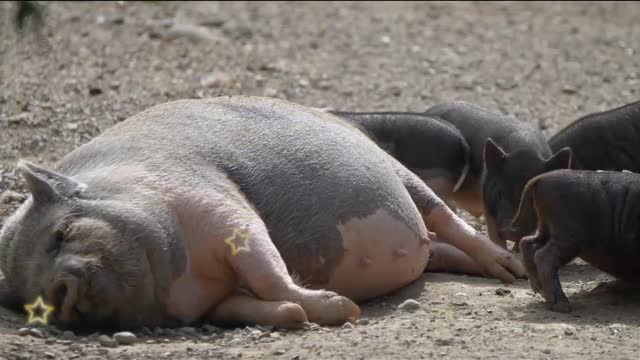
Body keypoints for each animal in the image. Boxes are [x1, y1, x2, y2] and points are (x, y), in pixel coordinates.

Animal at [0, 95, 524, 330]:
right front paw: (300, 314)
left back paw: (510, 269)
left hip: (398, 174)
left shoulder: (218, 205)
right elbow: (255, 302)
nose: (56, 294)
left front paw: (343, 309)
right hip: (424, 242)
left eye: (62, 233)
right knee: (437, 247)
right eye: (26, 295)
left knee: (442, 218)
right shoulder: (210, 303)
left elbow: (267, 266)